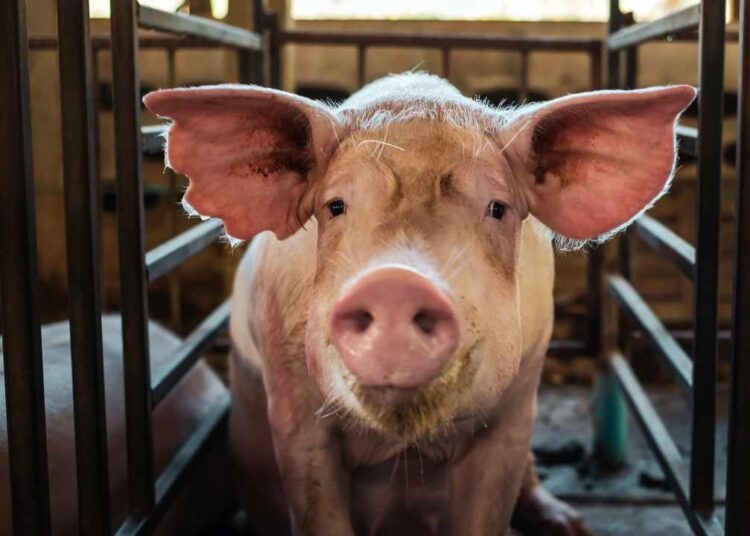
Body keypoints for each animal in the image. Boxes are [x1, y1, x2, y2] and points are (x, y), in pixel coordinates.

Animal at [144, 73, 695, 535]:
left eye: (498, 208)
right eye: (335, 206)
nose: (396, 282)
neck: (403, 449)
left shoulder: (515, 410)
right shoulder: (293, 410)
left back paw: (570, 525)